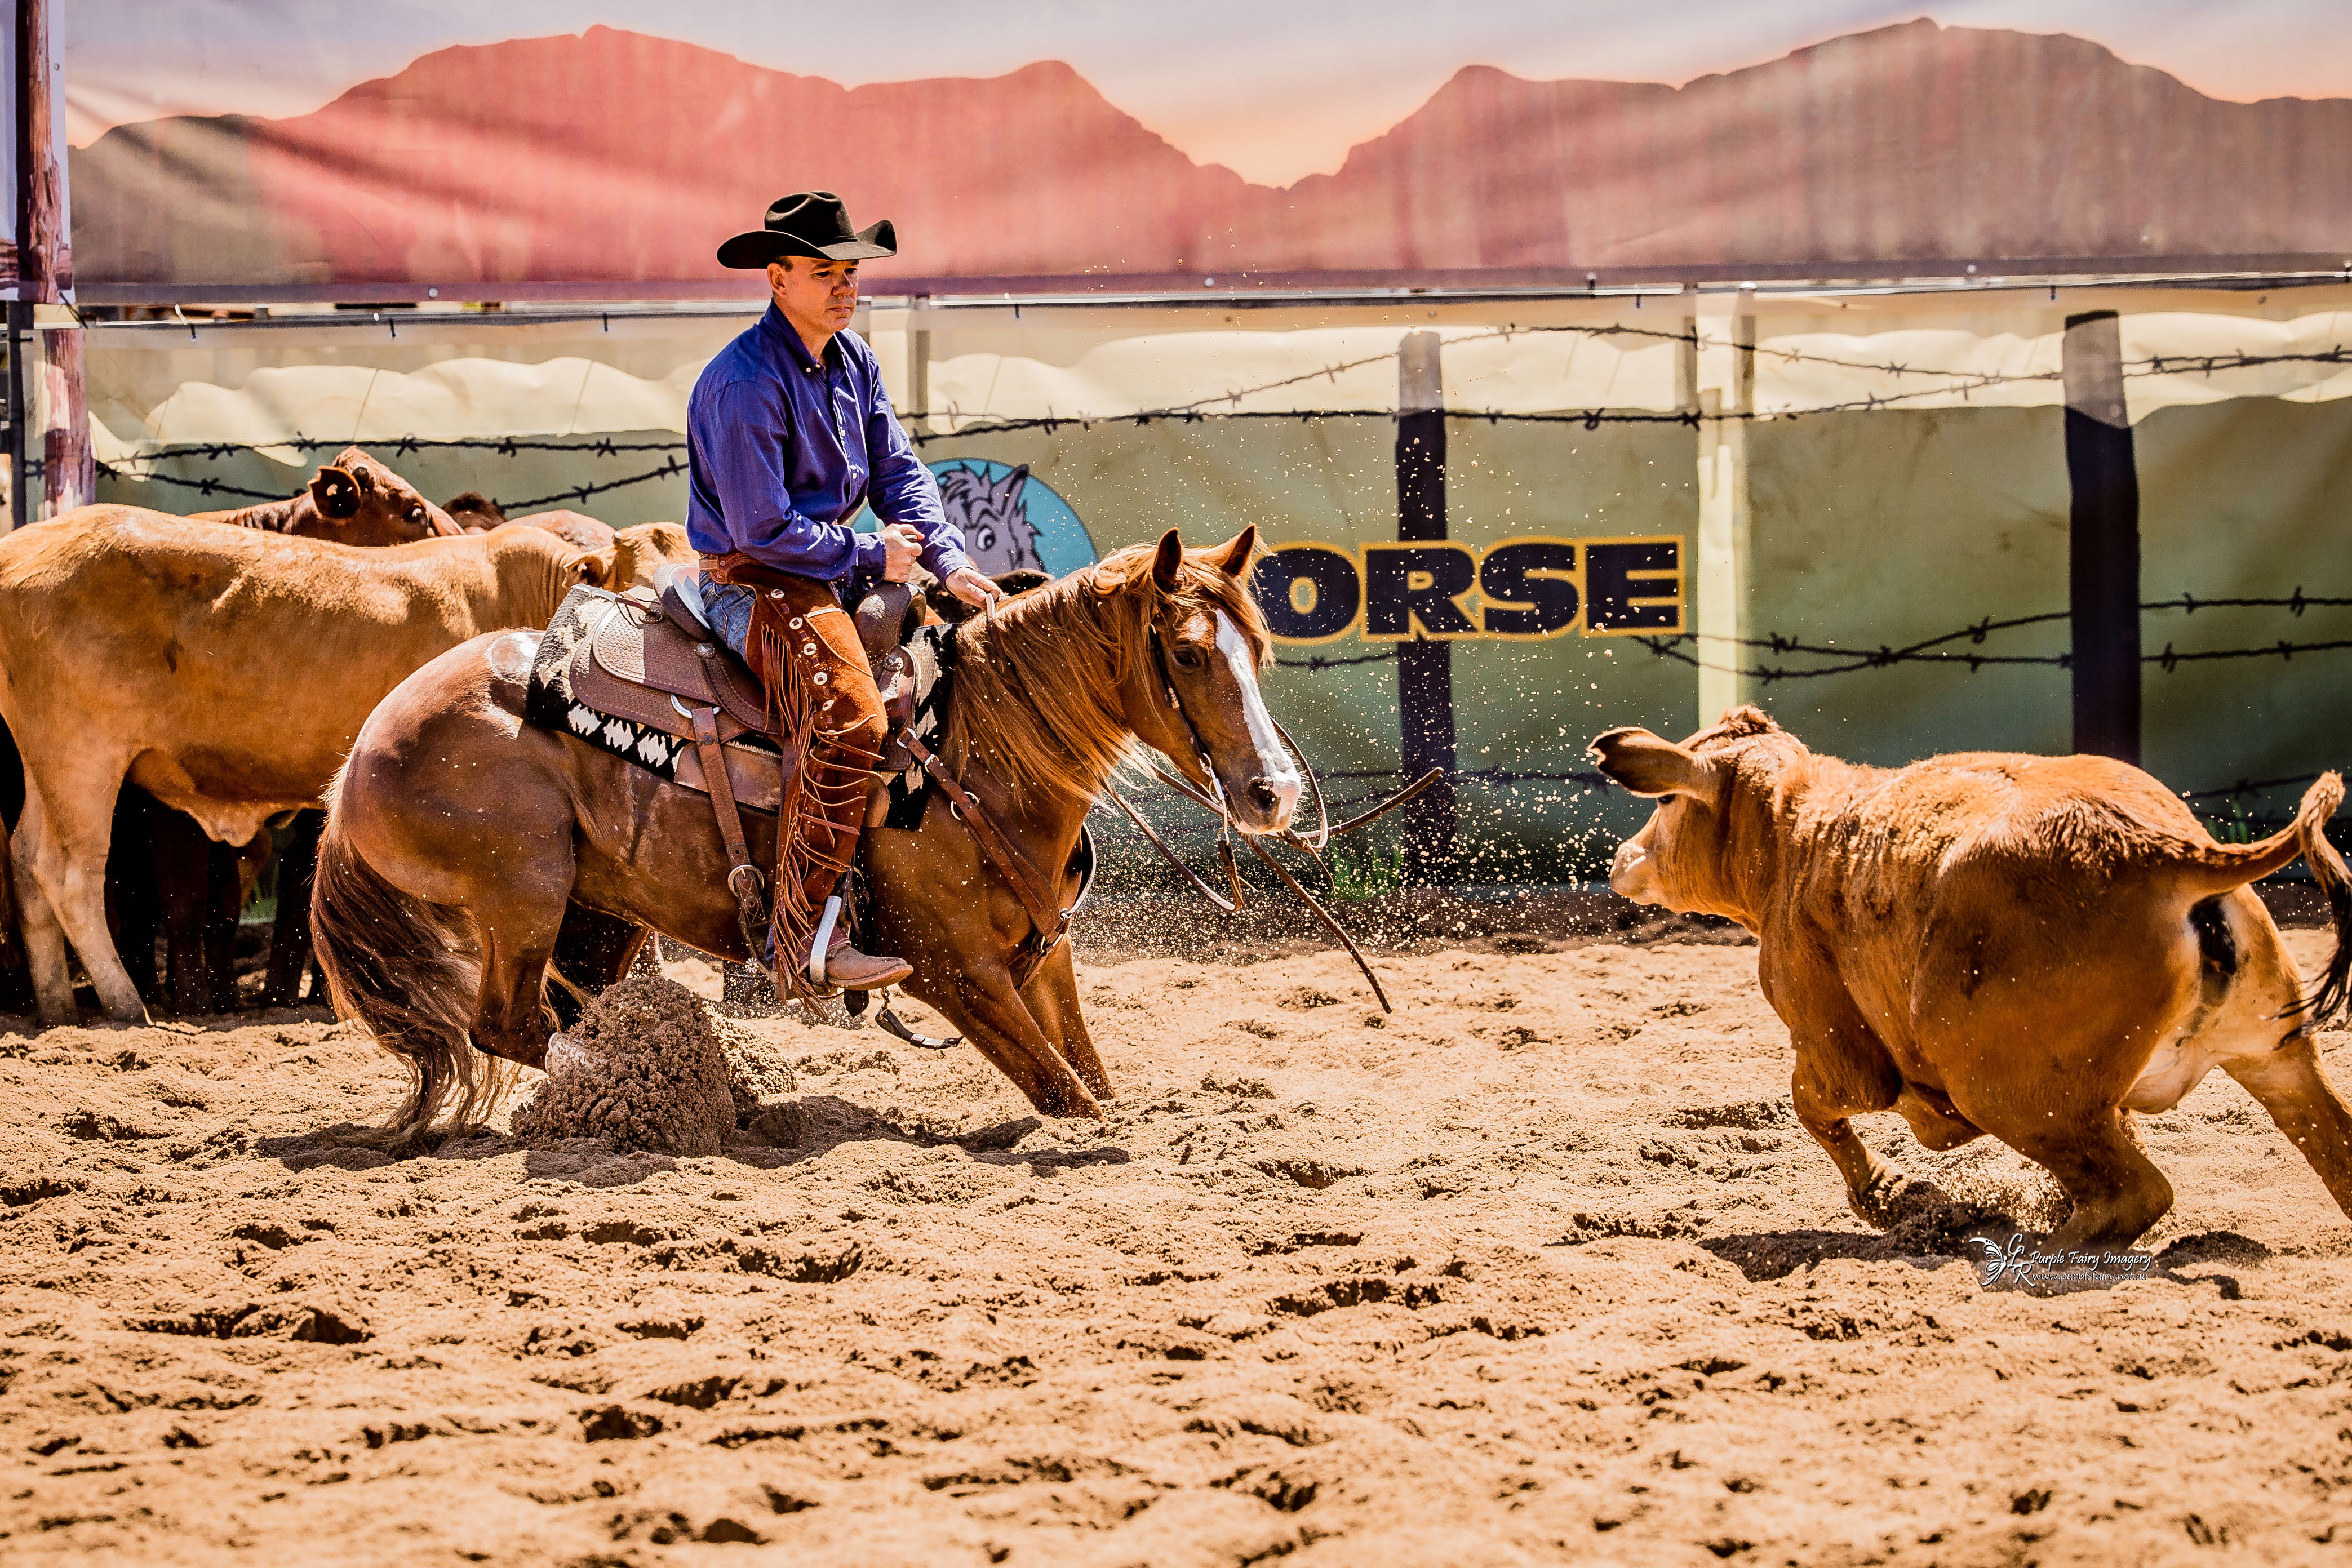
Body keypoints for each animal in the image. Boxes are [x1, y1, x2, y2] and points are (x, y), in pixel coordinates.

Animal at [0, 516, 665, 1025]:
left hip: (46, 764)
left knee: (27, 862)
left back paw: (57, 1005)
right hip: (80, 754)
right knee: (69, 873)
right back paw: (123, 1002)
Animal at [310, 527, 1302, 1139]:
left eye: (1256, 648)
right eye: (1186, 652)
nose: (1274, 791)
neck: (973, 747)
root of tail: (356, 759)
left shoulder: (1044, 954)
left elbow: (1095, 1081)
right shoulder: (953, 973)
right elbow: (1067, 1097)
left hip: (600, 914)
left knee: (570, 1006)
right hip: (521, 892)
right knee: (512, 1024)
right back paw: (653, 1090)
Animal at [1588, 707, 2352, 1251]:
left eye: (1664, 803)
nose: (1621, 857)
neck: (1795, 835)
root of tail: (2158, 849)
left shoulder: (1837, 1047)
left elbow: (1819, 1104)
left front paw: (1888, 1191)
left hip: (2008, 1092)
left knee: (2133, 1194)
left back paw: (2044, 1245)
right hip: (2277, 1059)